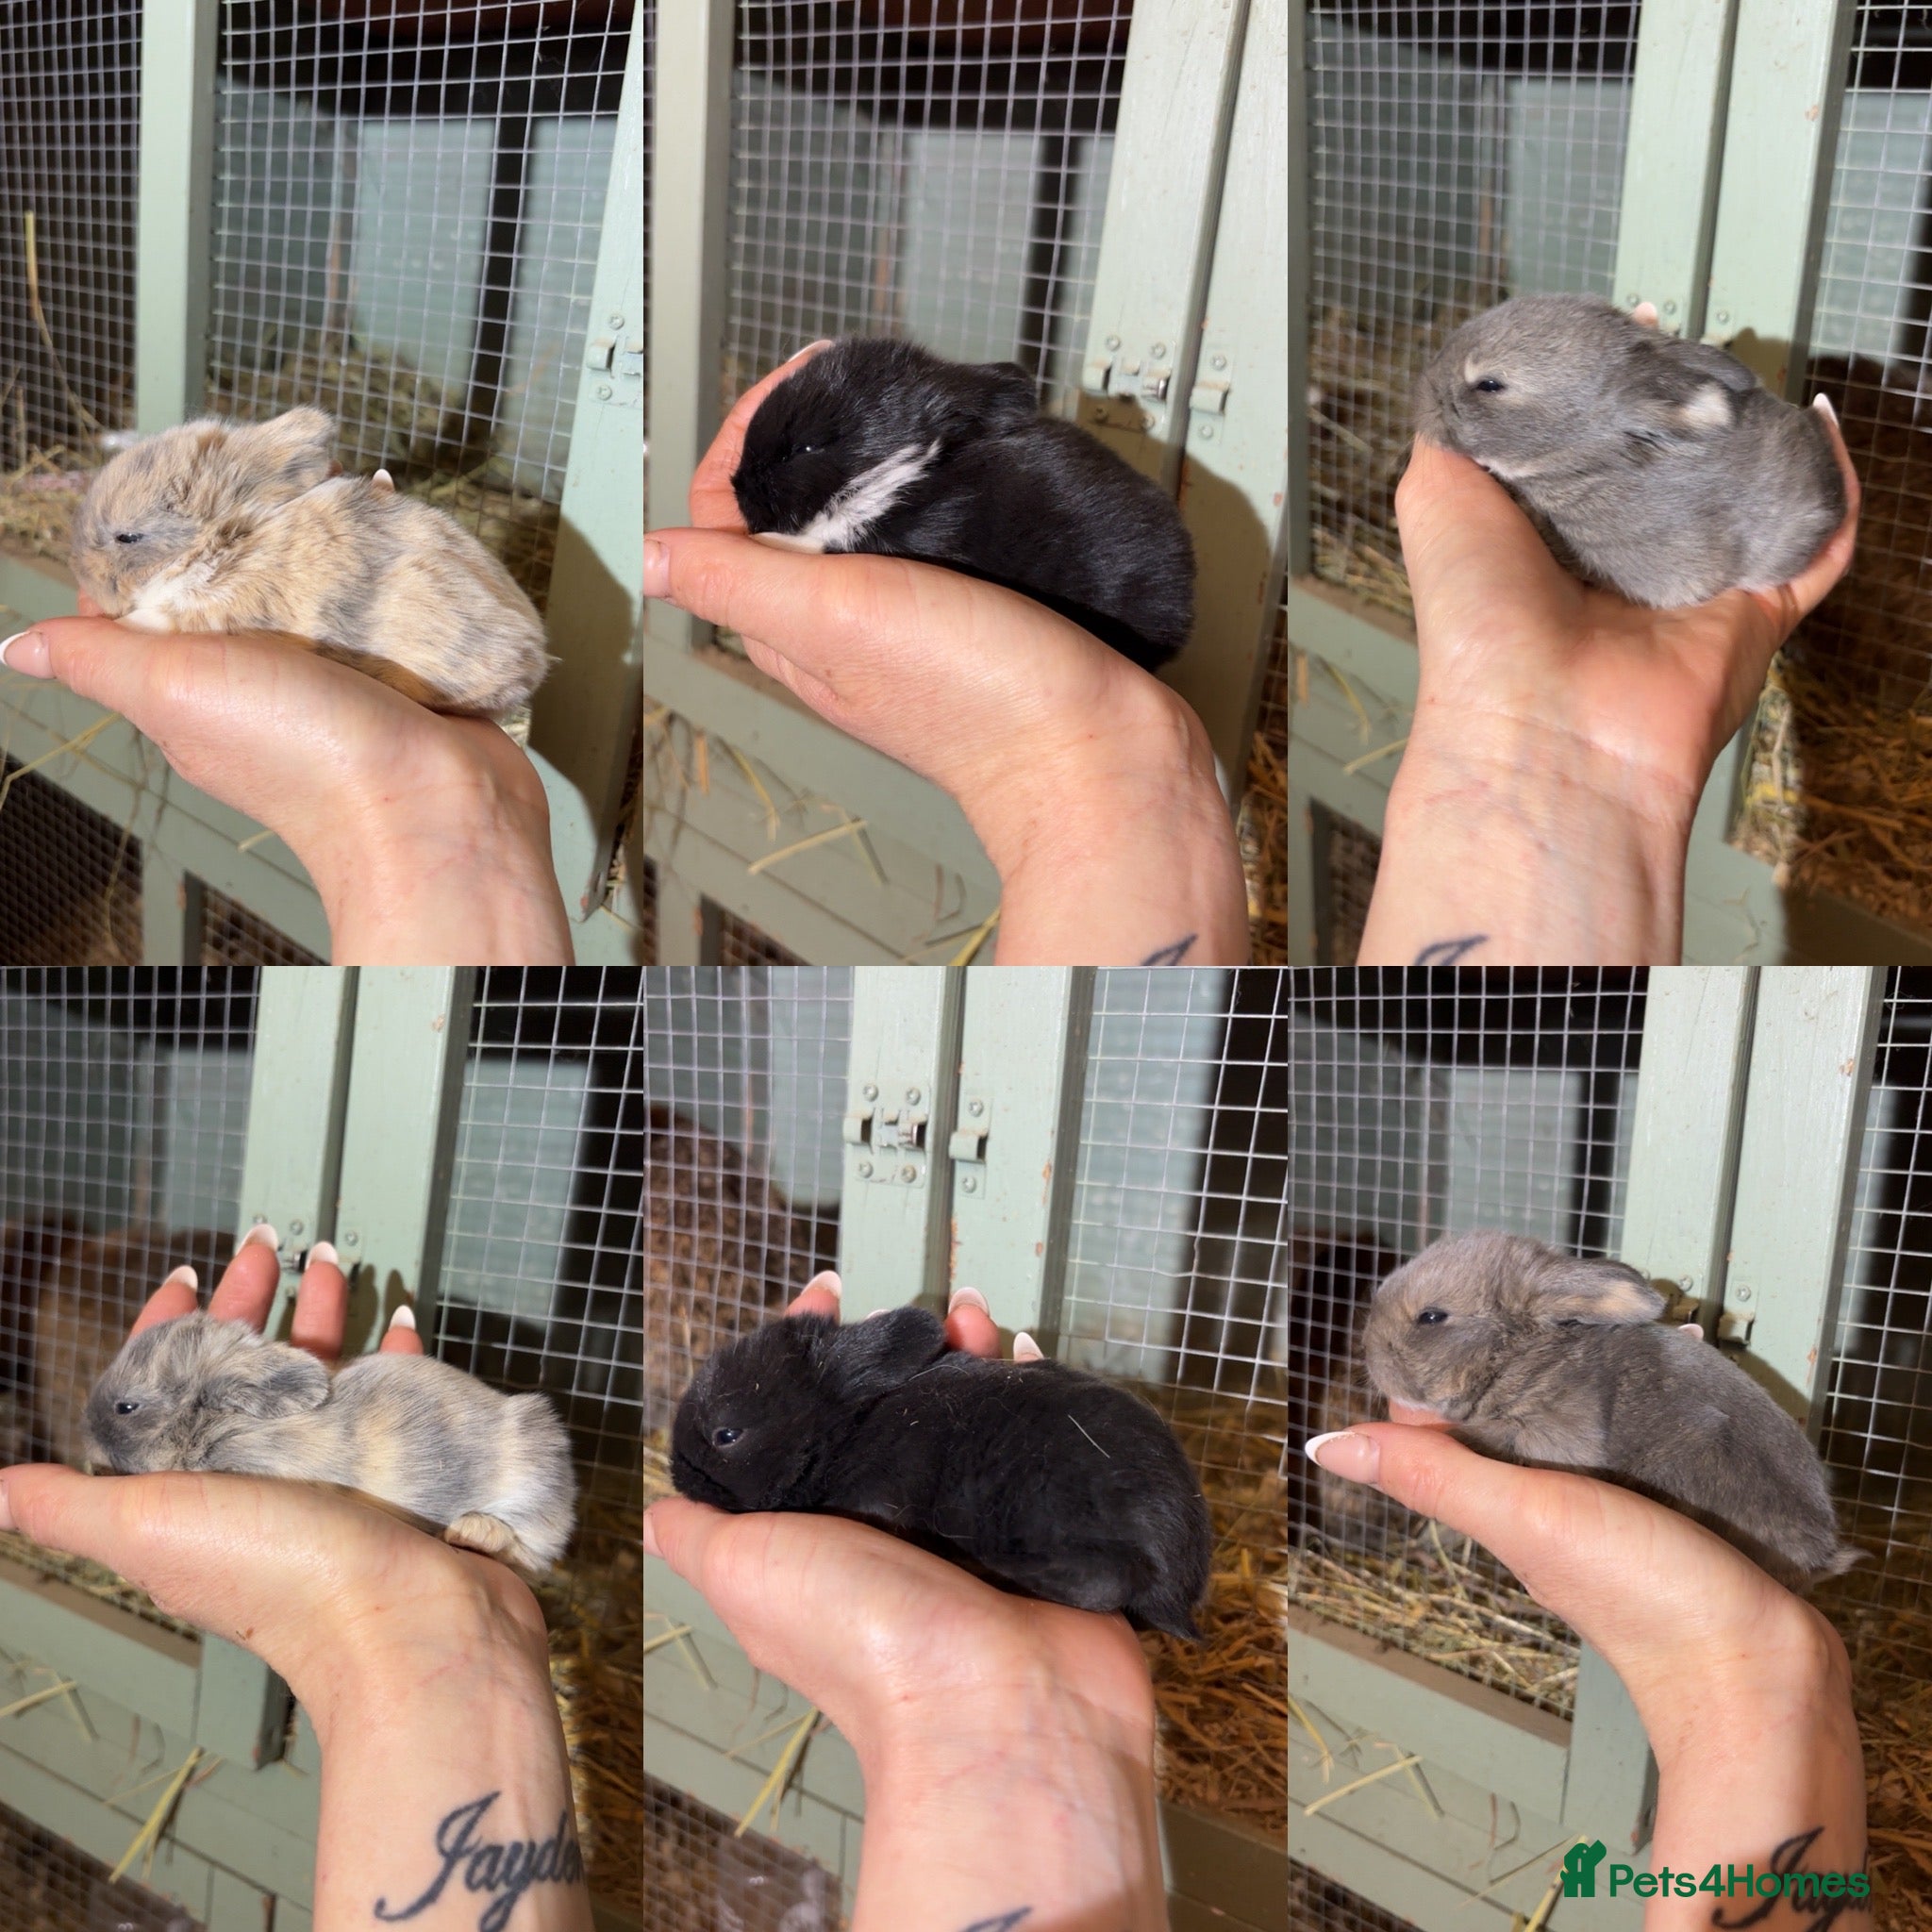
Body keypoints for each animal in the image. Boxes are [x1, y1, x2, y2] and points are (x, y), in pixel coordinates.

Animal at [84, 1311, 577, 1574]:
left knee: (526, 1550)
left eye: (125, 1407)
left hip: (531, 1487)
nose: (85, 1430)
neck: (213, 1423)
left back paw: (470, 1531)